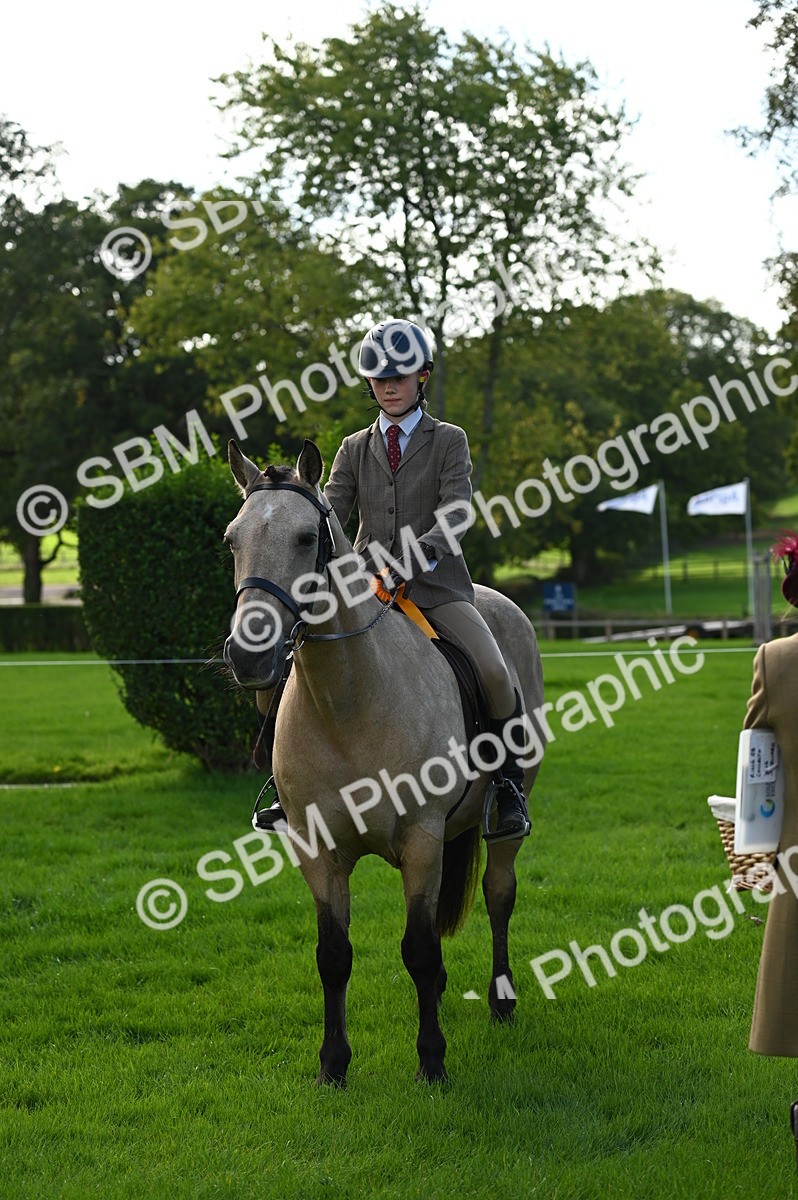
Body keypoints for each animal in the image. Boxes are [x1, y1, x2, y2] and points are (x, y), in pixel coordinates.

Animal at [222, 438, 544, 1085]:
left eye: (305, 538)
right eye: (231, 540)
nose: (247, 655)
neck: (347, 701)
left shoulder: (420, 838)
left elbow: (417, 949)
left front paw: (432, 1061)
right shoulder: (318, 850)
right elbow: (333, 956)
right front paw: (333, 1066)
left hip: (503, 816)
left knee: (499, 892)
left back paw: (501, 999)